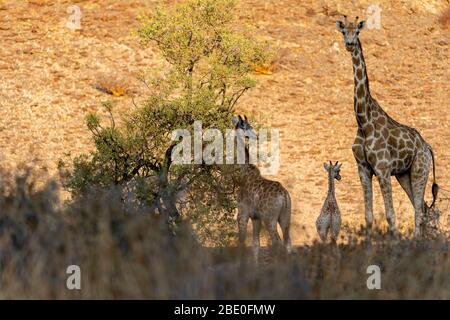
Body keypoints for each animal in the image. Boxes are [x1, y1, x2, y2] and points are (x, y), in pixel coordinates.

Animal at [232, 115, 292, 260]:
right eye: (245, 125)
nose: (256, 136)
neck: (245, 171)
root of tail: (284, 196)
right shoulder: (256, 217)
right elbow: (255, 245)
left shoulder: (243, 213)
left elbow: (242, 243)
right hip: (285, 217)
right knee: (288, 243)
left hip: (270, 219)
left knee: (278, 243)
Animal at [336, 16, 438, 236]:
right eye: (343, 32)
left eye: (357, 31)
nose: (349, 44)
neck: (363, 122)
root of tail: (427, 147)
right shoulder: (363, 168)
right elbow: (368, 216)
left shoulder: (382, 169)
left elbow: (391, 215)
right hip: (404, 174)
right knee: (423, 208)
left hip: (420, 169)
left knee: (419, 210)